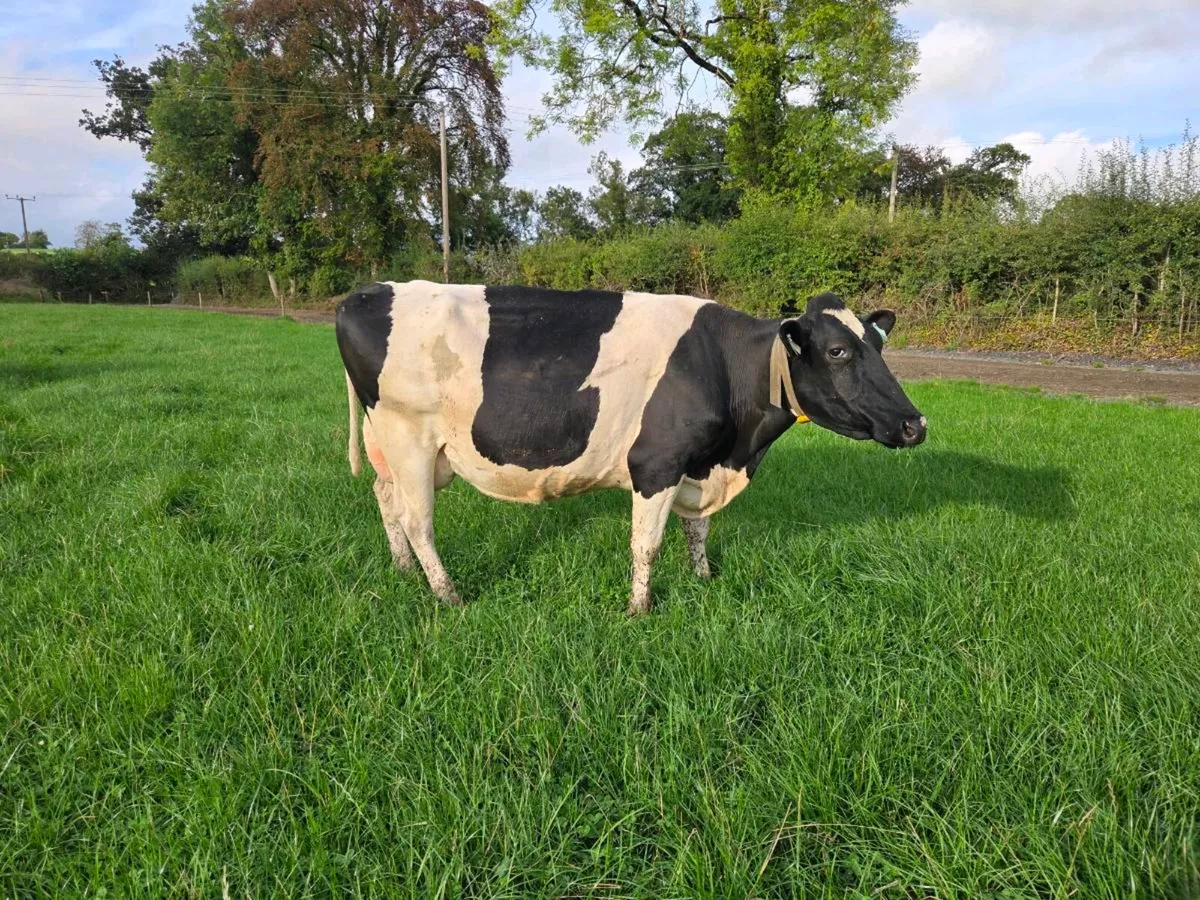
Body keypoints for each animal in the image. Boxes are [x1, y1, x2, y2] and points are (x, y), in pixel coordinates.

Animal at [336, 281, 926, 615]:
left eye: (879, 345)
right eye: (838, 350)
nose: (915, 424)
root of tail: (367, 290)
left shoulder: (698, 464)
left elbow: (698, 529)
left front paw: (704, 578)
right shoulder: (656, 462)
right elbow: (647, 545)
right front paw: (639, 609)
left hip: (391, 444)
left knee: (385, 500)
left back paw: (403, 571)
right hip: (409, 438)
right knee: (418, 521)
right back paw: (448, 595)